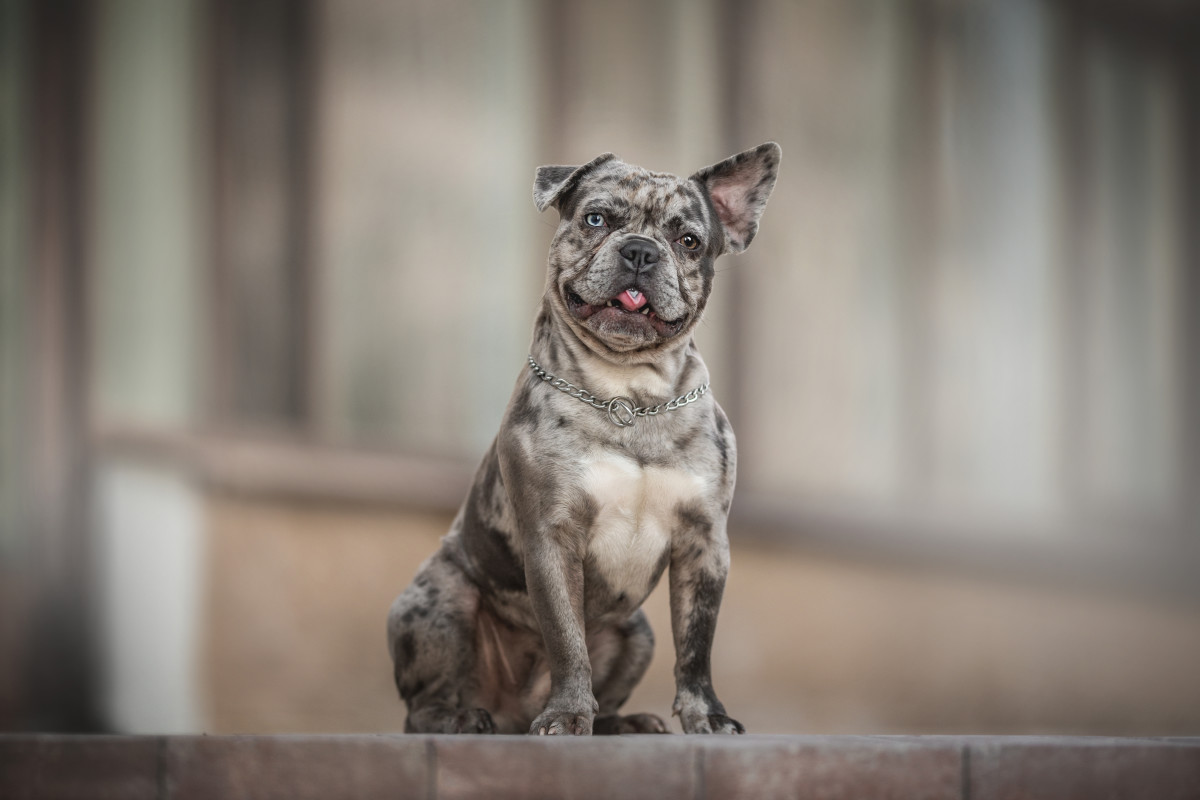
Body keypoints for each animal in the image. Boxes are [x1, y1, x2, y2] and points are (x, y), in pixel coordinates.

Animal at [384, 140, 777, 734]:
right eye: (596, 219)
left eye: (688, 240)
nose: (640, 251)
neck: (629, 395)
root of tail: (514, 711)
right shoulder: (553, 537)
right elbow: (567, 640)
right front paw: (567, 714)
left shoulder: (704, 544)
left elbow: (696, 645)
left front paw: (706, 715)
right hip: (441, 599)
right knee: (423, 707)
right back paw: (463, 717)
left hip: (637, 631)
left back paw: (623, 723)